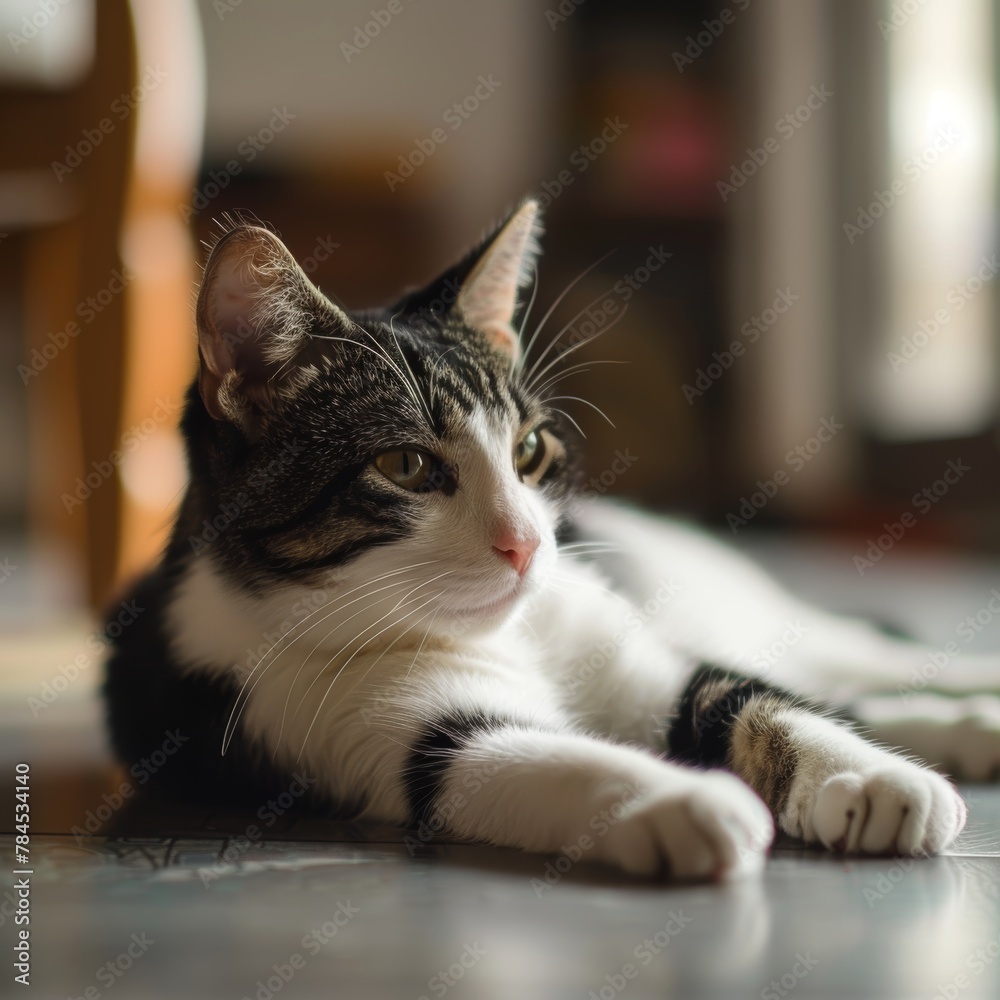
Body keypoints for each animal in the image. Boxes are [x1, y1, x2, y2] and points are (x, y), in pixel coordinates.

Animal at [103, 199, 1000, 880]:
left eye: (528, 450)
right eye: (405, 465)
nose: (528, 545)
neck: (509, 633)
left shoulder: (639, 654)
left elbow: (745, 696)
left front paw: (868, 775)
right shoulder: (331, 716)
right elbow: (514, 759)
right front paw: (684, 800)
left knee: (842, 658)